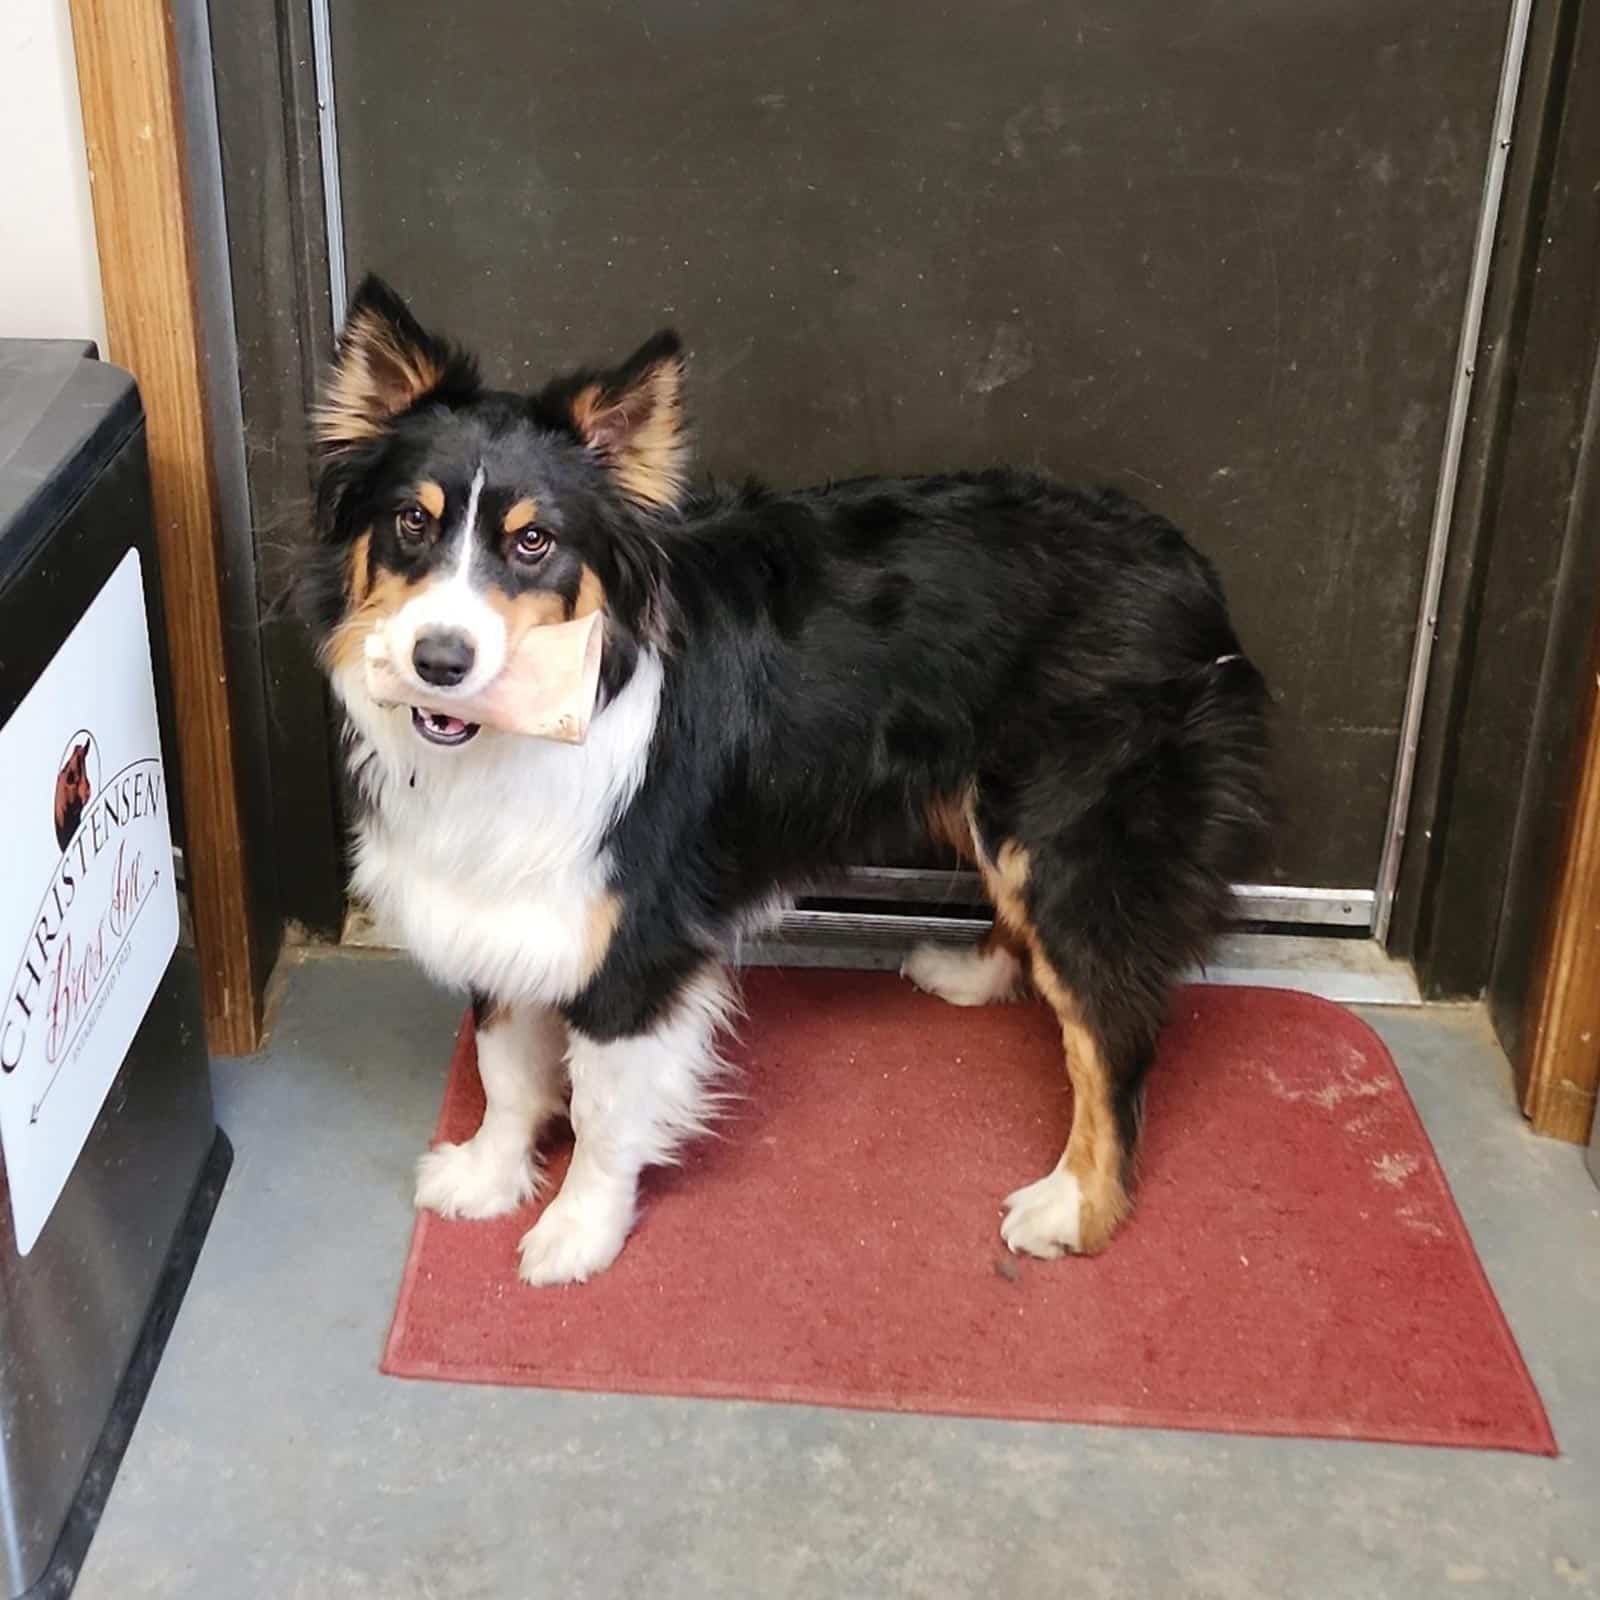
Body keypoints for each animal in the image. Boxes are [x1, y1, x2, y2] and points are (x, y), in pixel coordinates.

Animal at [300, 278, 1267, 1286]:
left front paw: (579, 1230)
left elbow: (604, 1108)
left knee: (1109, 1029)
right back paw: (975, 975)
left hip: (1072, 833)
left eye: (534, 542)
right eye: (411, 522)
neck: (525, 724)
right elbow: (505, 1062)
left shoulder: (636, 939)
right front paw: (492, 1175)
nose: (439, 661)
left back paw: (1077, 1205)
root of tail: (1187, 563)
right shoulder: (506, 895)